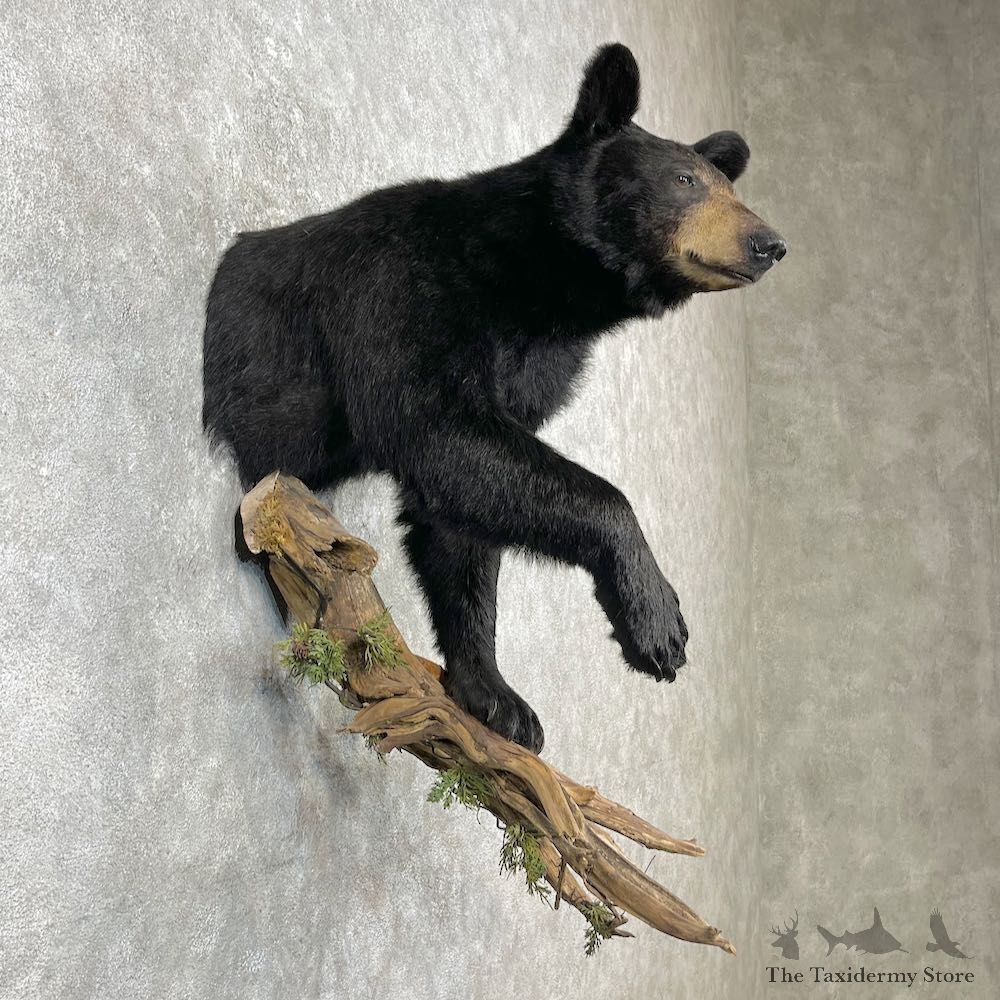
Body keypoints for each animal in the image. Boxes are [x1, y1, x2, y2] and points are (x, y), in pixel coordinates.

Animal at [203, 43, 785, 754]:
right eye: (684, 180)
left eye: (728, 187)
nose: (769, 244)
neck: (536, 288)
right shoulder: (403, 289)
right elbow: (441, 433)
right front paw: (656, 620)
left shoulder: (533, 372)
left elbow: (462, 520)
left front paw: (497, 696)